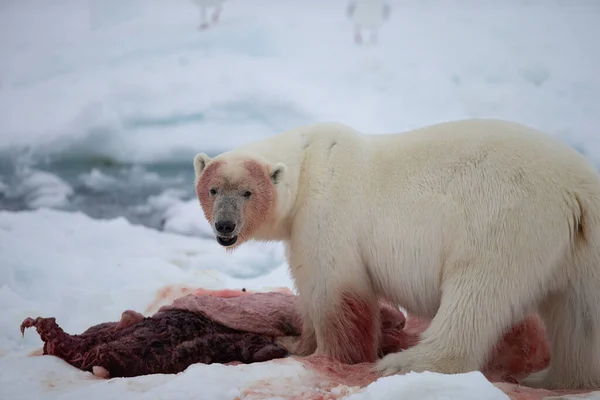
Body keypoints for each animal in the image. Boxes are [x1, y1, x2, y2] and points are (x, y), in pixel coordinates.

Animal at [195, 119, 600, 390]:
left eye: (247, 193)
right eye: (213, 189)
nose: (225, 227)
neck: (310, 161)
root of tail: (579, 189)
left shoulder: (326, 214)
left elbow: (335, 292)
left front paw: (325, 356)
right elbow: (310, 292)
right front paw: (296, 341)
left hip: (504, 223)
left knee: (477, 294)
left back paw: (405, 363)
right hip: (581, 248)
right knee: (580, 319)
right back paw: (552, 378)